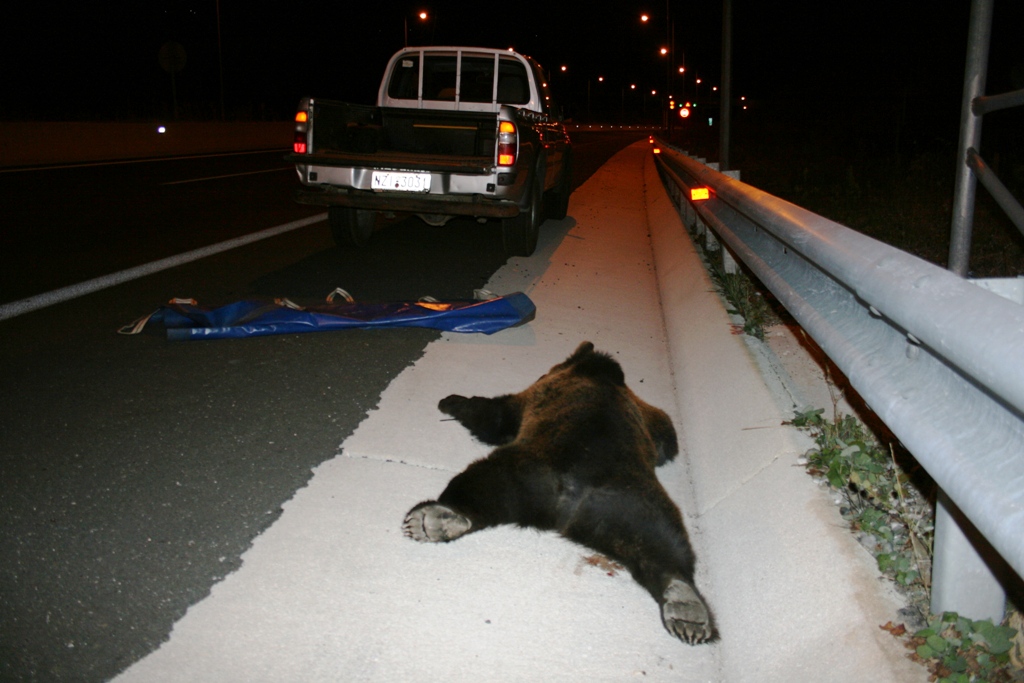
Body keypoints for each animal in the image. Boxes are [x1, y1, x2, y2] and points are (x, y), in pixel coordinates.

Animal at [399, 342, 712, 647]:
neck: (599, 372)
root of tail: (570, 502)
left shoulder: (528, 399)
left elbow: (494, 416)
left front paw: (451, 401)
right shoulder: (646, 415)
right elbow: (665, 434)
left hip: (527, 472)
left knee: (482, 483)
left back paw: (436, 518)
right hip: (631, 505)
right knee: (661, 543)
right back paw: (686, 605)